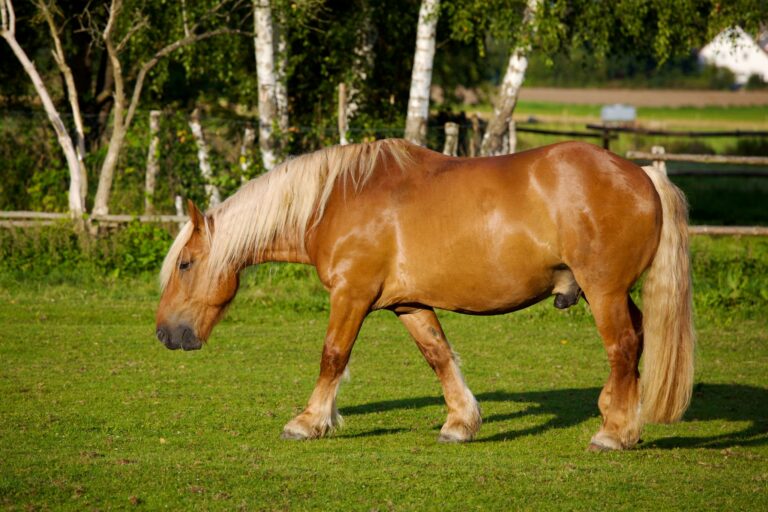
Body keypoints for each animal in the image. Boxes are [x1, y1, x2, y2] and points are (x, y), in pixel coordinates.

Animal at [155, 139, 694, 451]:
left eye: (184, 264)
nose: (164, 334)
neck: (335, 200)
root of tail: (644, 175)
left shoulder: (351, 296)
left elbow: (333, 356)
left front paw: (309, 422)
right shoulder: (408, 304)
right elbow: (438, 356)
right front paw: (461, 423)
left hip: (603, 291)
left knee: (622, 346)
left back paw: (614, 433)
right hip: (610, 293)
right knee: (637, 339)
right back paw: (619, 416)